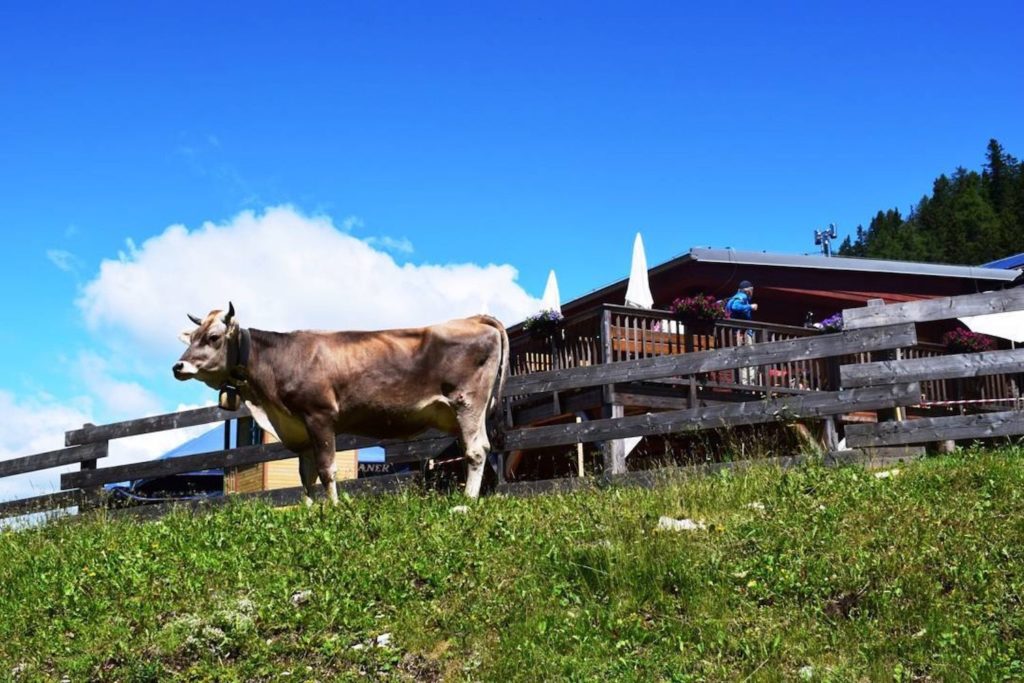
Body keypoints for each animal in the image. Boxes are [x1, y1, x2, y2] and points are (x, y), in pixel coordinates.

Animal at [177, 305, 512, 501]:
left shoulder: (319, 416)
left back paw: (466, 503)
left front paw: (334, 508)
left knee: (476, 450)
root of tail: (474, 319)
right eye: (192, 337)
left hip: (466, 402)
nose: (178, 366)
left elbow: (327, 469)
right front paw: (309, 511)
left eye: (214, 337)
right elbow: (306, 475)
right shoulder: (300, 428)